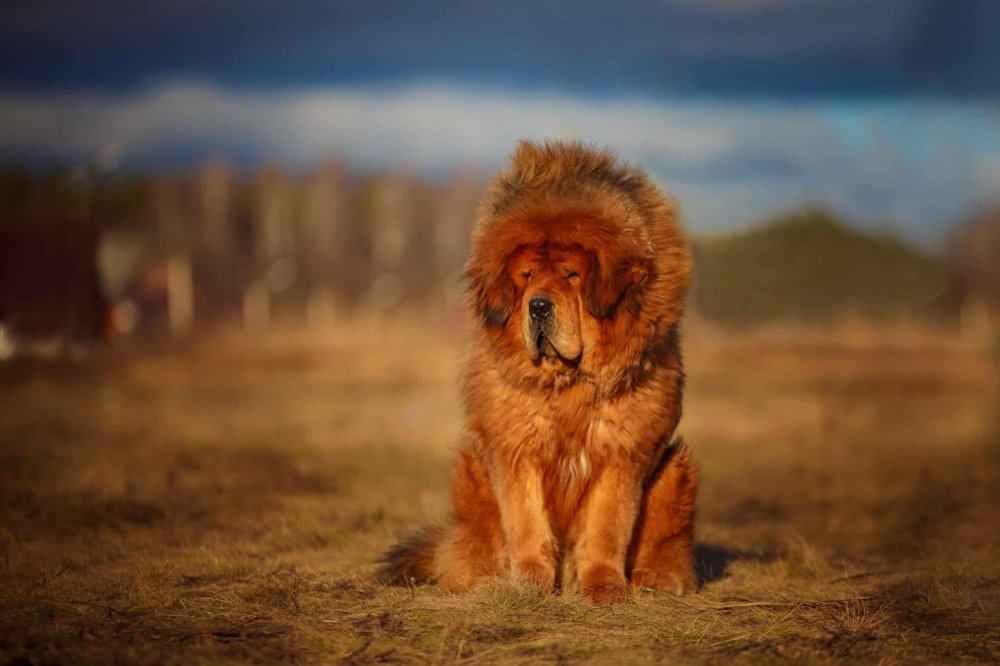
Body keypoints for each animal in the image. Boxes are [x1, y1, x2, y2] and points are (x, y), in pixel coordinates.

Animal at [378, 140, 700, 600]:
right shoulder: (516, 450)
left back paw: (654, 578)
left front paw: (604, 588)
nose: (539, 306)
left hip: (676, 470)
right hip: (470, 470)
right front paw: (528, 582)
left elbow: (606, 529)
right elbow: (527, 524)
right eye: (528, 276)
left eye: (572, 275)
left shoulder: (620, 454)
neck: (569, 384)